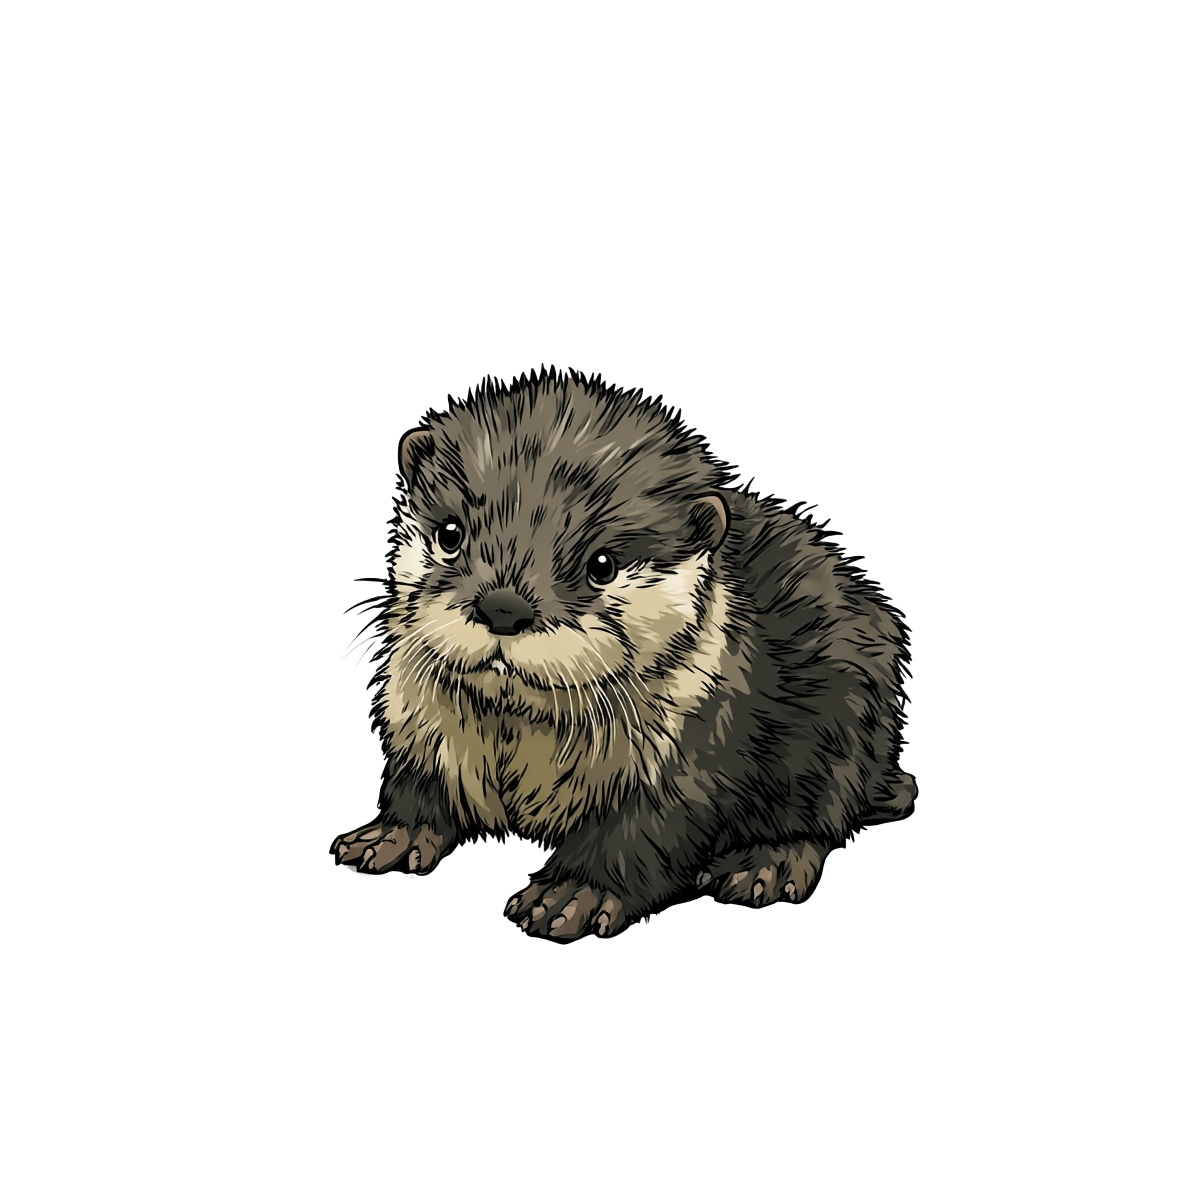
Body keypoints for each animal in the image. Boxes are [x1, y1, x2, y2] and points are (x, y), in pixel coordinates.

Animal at [331, 367, 916, 942]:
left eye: (603, 564)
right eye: (451, 533)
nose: (503, 606)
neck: (516, 747)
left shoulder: (691, 755)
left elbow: (639, 834)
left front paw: (573, 894)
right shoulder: (419, 722)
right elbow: (418, 784)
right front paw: (391, 835)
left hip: (845, 720)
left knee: (825, 816)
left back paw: (766, 864)